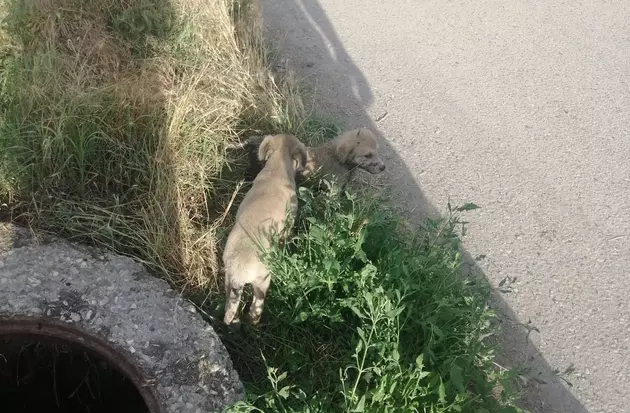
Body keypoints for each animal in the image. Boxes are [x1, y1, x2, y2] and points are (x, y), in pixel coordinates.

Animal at [225, 133, 308, 326]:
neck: (277, 168)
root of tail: (239, 271)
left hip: (228, 280)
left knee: (230, 308)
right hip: (262, 281)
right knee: (256, 308)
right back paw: (254, 322)